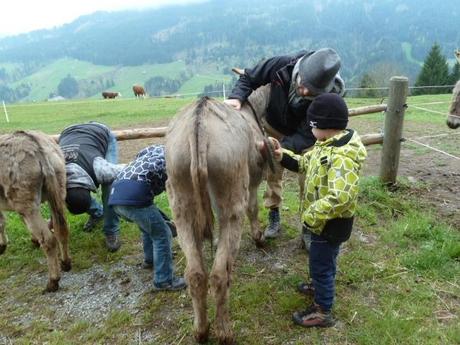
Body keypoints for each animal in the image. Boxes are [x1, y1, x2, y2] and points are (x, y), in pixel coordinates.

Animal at [0, 130, 71, 292]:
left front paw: (2, 246)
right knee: (61, 230)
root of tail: (36, 146)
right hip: (57, 191)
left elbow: (1, 223)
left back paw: (53, 281)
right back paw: (65, 263)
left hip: (27, 204)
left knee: (49, 241)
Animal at [165, 85, 272, 342]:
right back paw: (225, 332)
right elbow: (254, 207)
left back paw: (201, 331)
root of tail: (199, 122)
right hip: (233, 203)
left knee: (195, 274)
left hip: (181, 204)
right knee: (219, 275)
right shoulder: (253, 183)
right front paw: (259, 238)